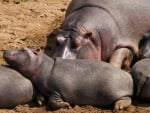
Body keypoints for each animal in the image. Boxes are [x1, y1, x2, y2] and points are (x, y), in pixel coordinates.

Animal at [3, 47, 133, 109]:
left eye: (24, 49)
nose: (5, 51)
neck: (43, 66)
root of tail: (129, 76)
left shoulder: (57, 90)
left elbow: (53, 101)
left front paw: (66, 105)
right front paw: (41, 101)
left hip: (116, 92)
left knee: (126, 99)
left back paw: (118, 107)